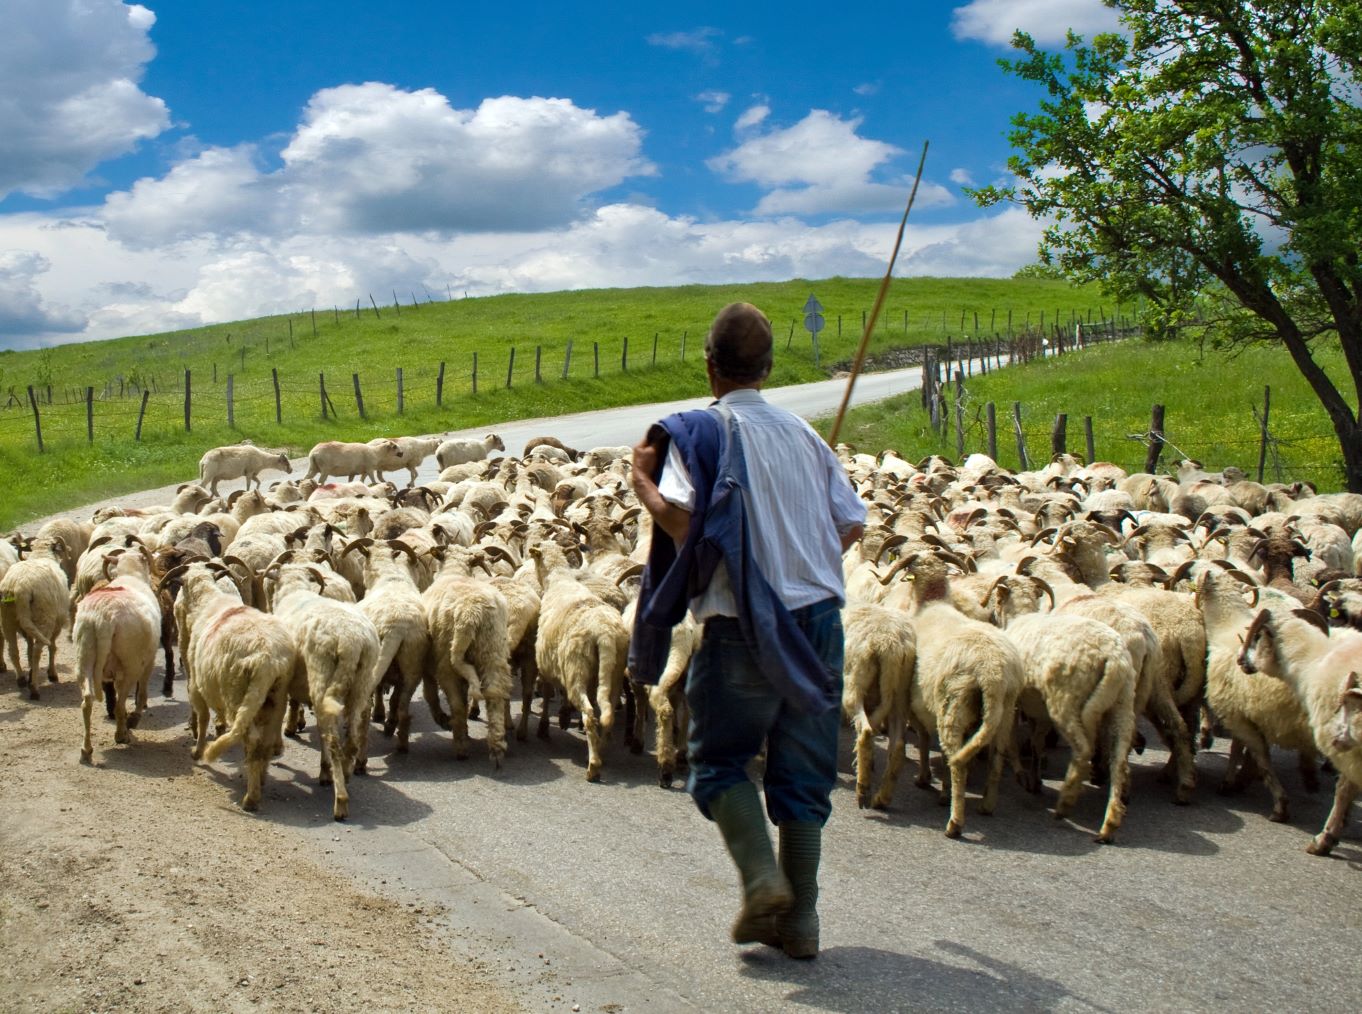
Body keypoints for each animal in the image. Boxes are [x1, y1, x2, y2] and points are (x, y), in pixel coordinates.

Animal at [74, 547, 160, 763]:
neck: (130, 575)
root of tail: (103, 618)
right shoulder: (149, 660)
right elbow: (142, 692)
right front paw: (135, 719)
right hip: (130, 663)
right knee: (120, 704)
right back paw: (122, 735)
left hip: (84, 655)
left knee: (86, 700)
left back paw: (86, 750)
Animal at [1242, 610, 1362, 855]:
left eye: (1257, 636)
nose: (1241, 662)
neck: (1312, 663)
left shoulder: (1349, 752)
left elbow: (1343, 791)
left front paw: (1324, 839)